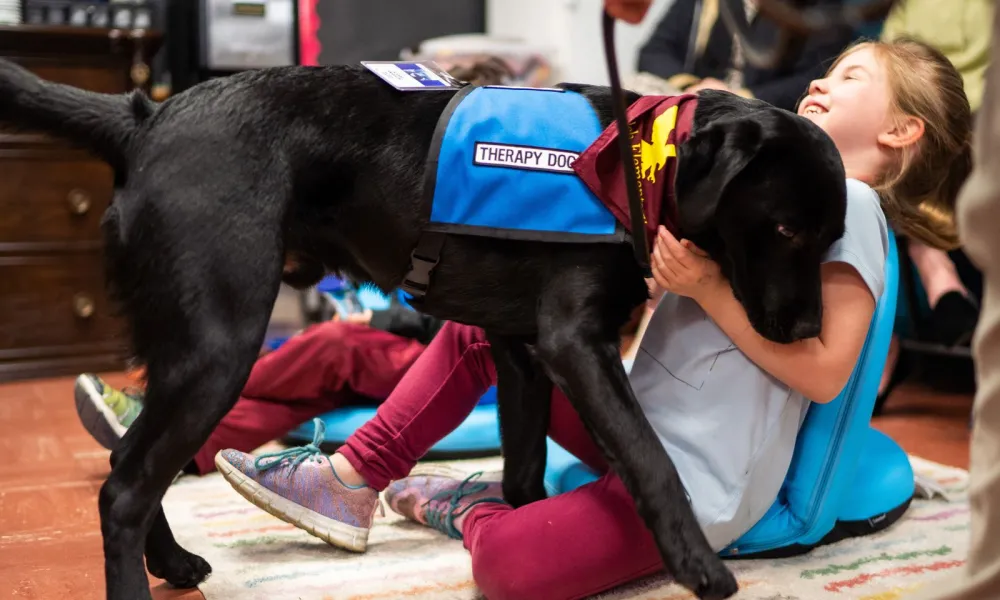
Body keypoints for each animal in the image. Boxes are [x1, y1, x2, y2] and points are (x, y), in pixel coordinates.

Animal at [0, 62, 844, 600]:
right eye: (784, 228)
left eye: (831, 236)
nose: (809, 330)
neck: (633, 168)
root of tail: (148, 118)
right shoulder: (574, 344)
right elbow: (651, 460)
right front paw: (699, 566)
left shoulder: (521, 353)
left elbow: (524, 476)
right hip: (219, 345)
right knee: (124, 487)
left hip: (183, 344)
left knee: (135, 465)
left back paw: (173, 562)